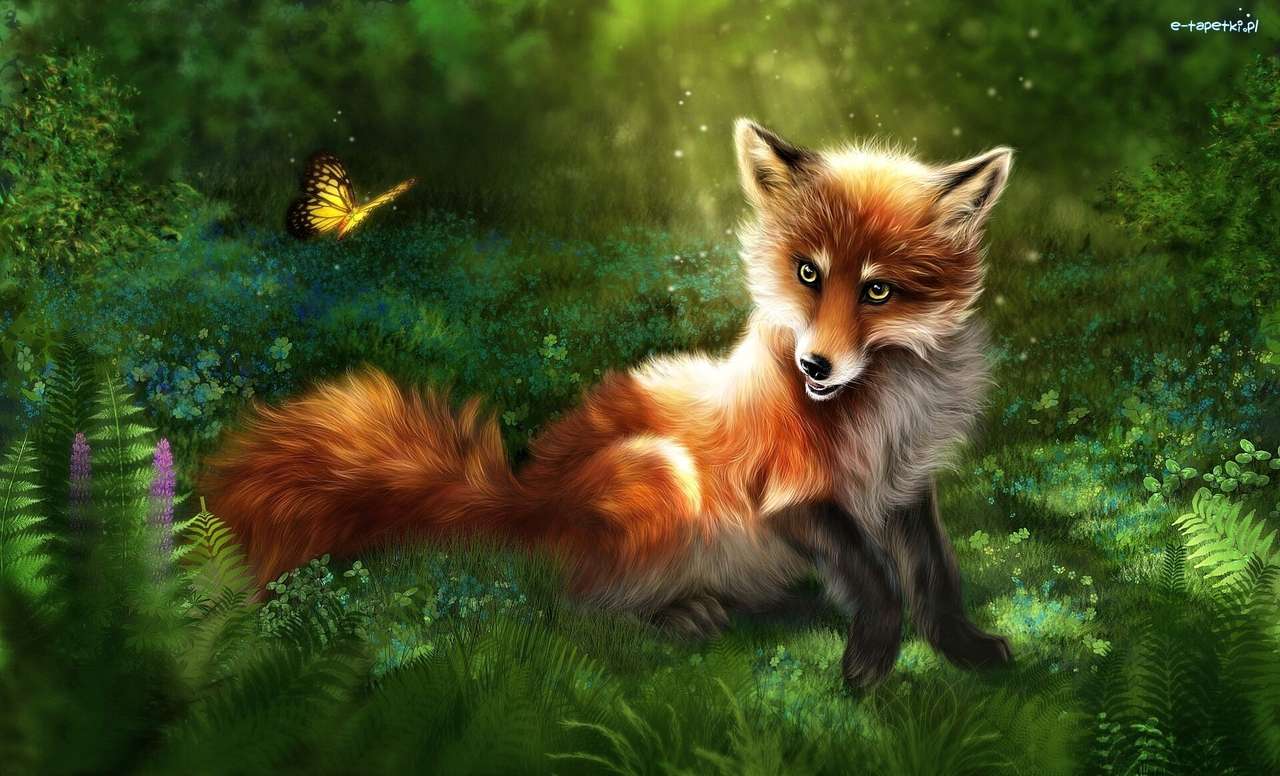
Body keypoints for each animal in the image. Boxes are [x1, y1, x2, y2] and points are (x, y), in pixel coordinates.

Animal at [204, 119, 1015, 688]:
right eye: (808, 273)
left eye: (878, 290)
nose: (814, 364)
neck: (881, 409)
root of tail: (526, 498)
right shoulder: (790, 494)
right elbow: (878, 581)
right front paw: (870, 662)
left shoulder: (904, 489)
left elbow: (935, 578)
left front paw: (966, 651)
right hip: (663, 478)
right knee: (572, 618)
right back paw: (678, 619)